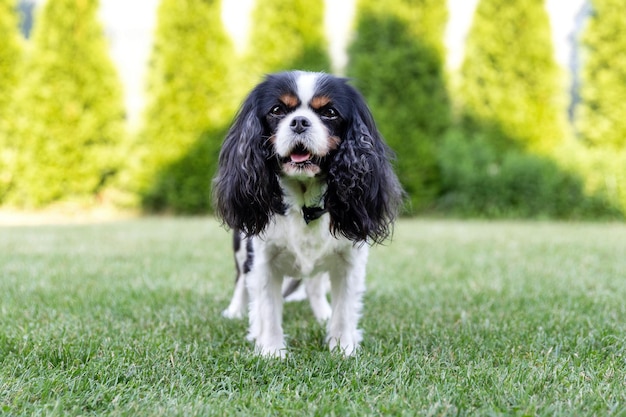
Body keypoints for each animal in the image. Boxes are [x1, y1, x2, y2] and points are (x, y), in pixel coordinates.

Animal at [212, 70, 402, 356]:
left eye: (330, 113)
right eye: (277, 110)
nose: (300, 122)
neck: (304, 206)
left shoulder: (350, 260)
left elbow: (344, 310)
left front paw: (343, 349)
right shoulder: (262, 258)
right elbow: (267, 308)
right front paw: (271, 351)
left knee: (313, 284)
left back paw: (322, 313)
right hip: (241, 246)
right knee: (241, 280)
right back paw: (236, 312)